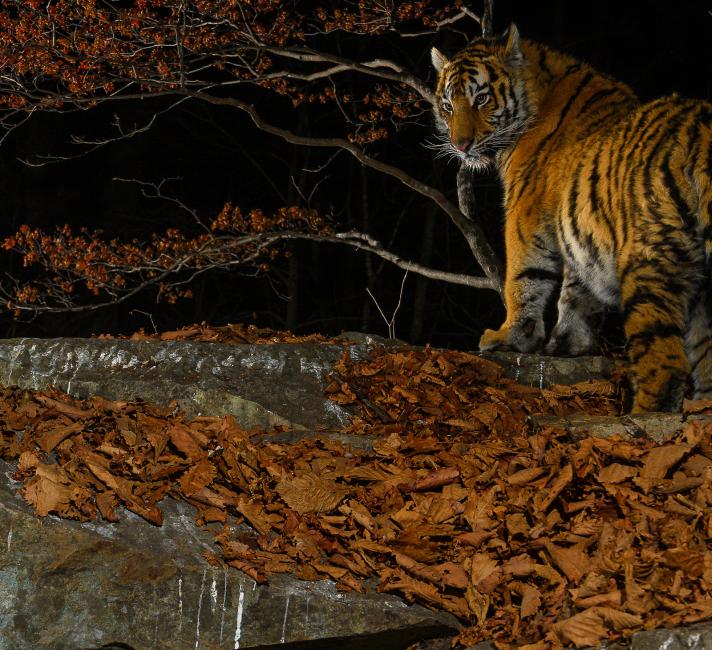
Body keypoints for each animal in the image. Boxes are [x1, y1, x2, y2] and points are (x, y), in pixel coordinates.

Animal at [428, 25, 712, 412]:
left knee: (665, 362)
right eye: (447, 105)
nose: (461, 145)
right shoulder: (583, 228)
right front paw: (569, 344)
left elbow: (524, 280)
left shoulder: (525, 215)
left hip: (650, 263)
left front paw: (510, 336)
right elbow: (576, 293)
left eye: (482, 99)